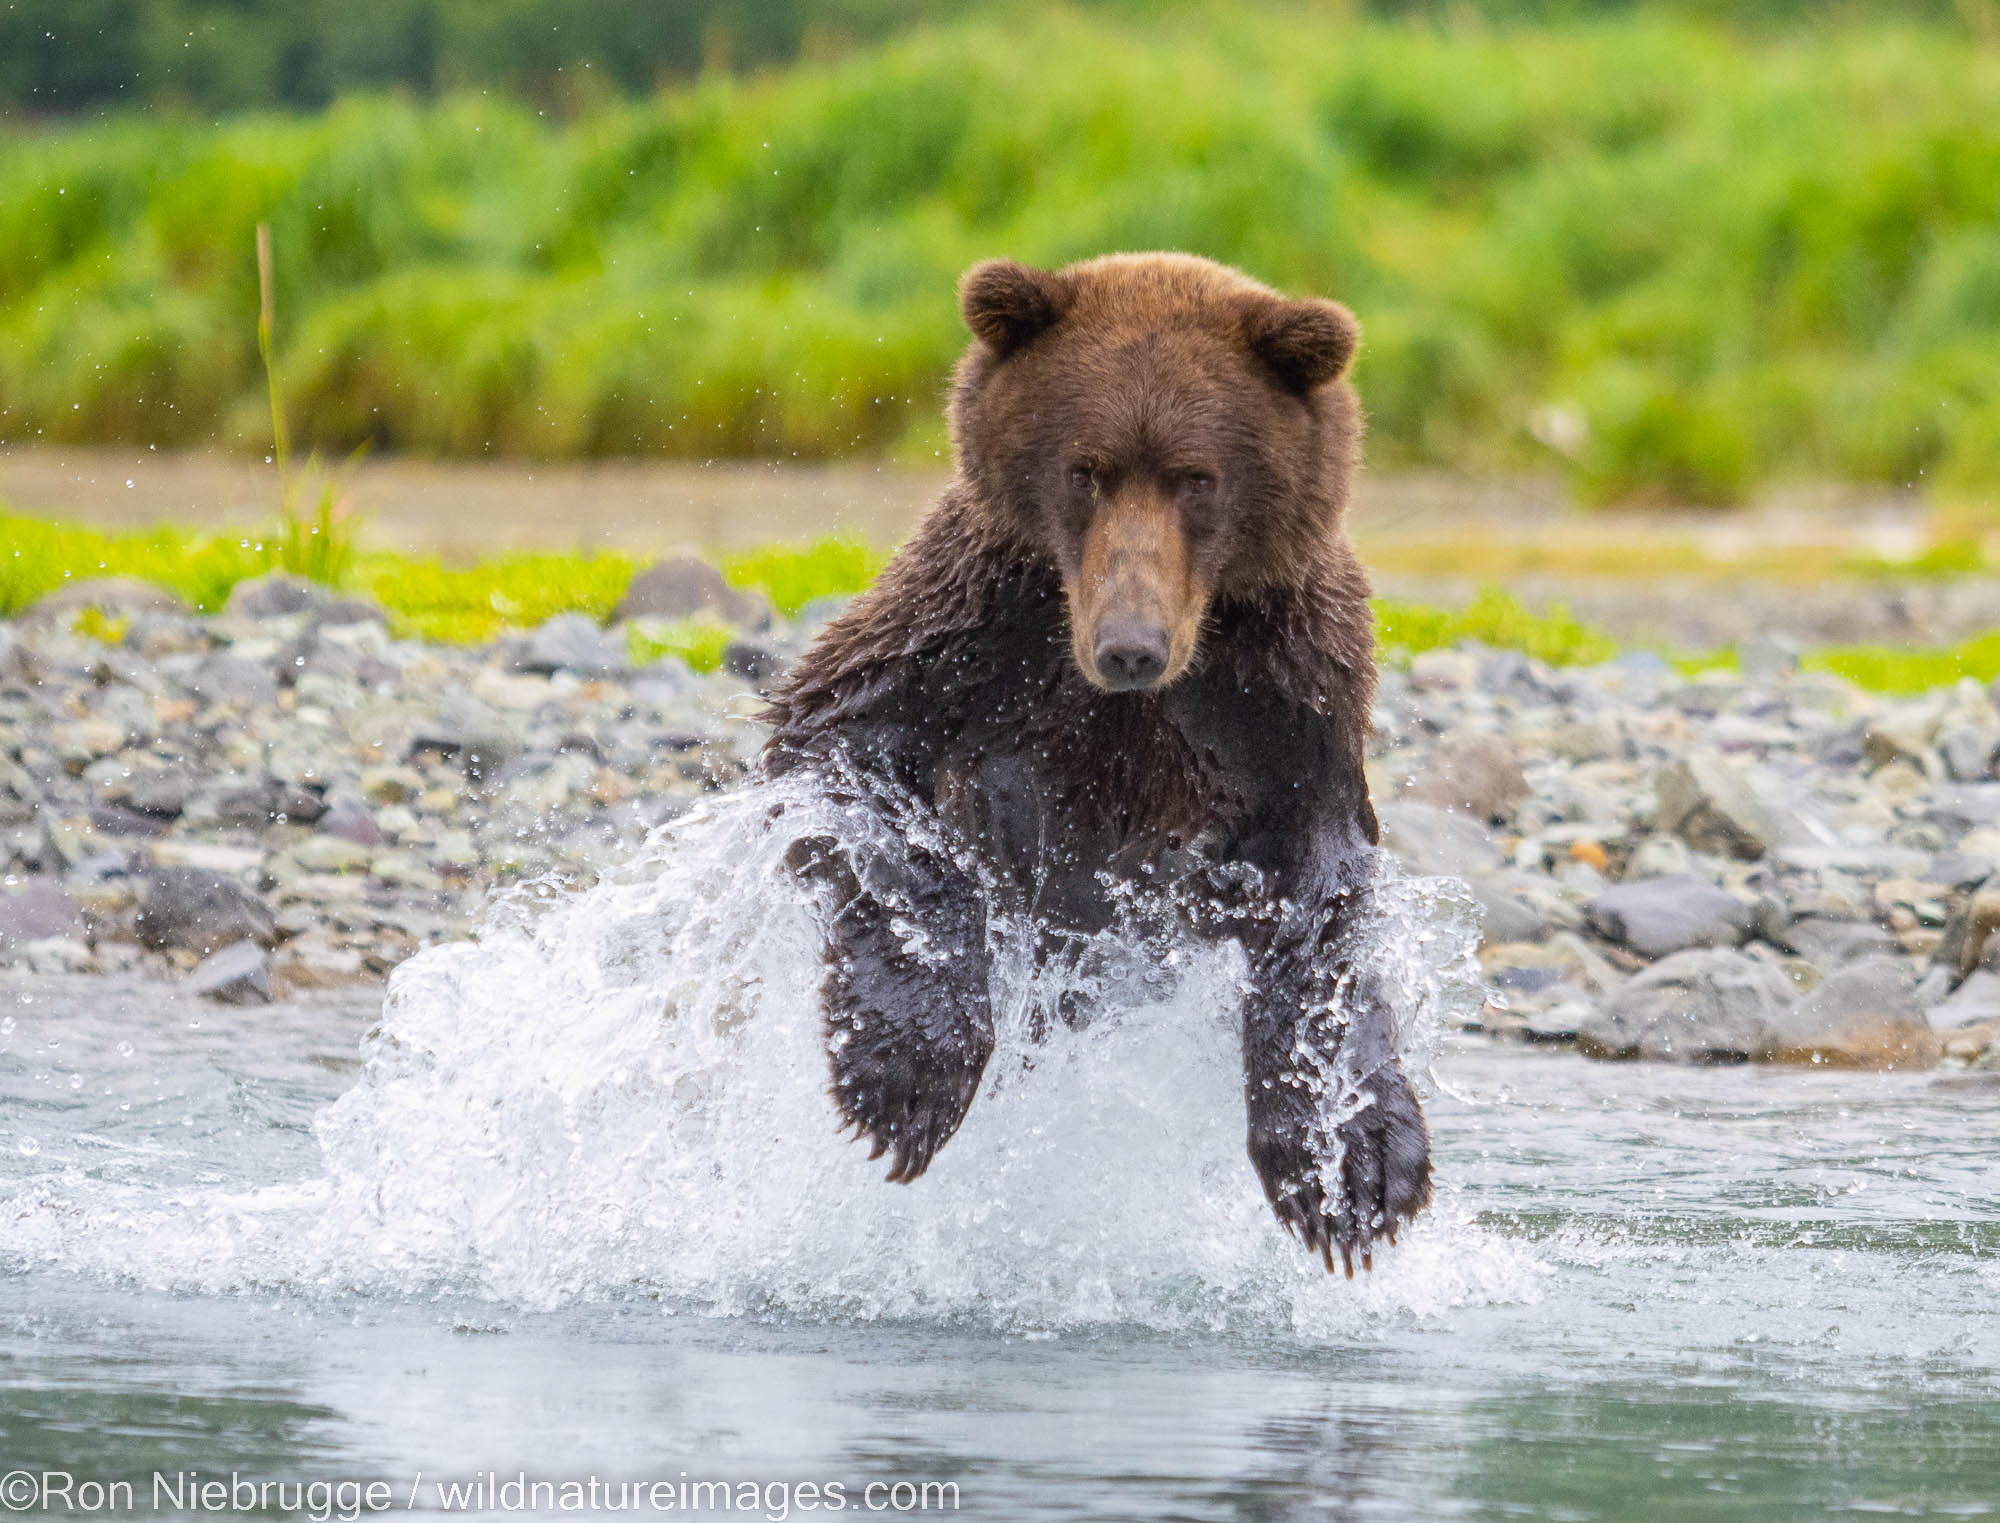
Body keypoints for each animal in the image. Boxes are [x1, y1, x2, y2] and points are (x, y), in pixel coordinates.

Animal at [756, 248, 1432, 1271]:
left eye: (1197, 477)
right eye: (1085, 470)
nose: (1130, 648)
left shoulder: (1285, 695)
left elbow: (1322, 898)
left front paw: (1352, 1162)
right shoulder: (975, 627)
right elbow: (841, 752)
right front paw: (907, 1071)